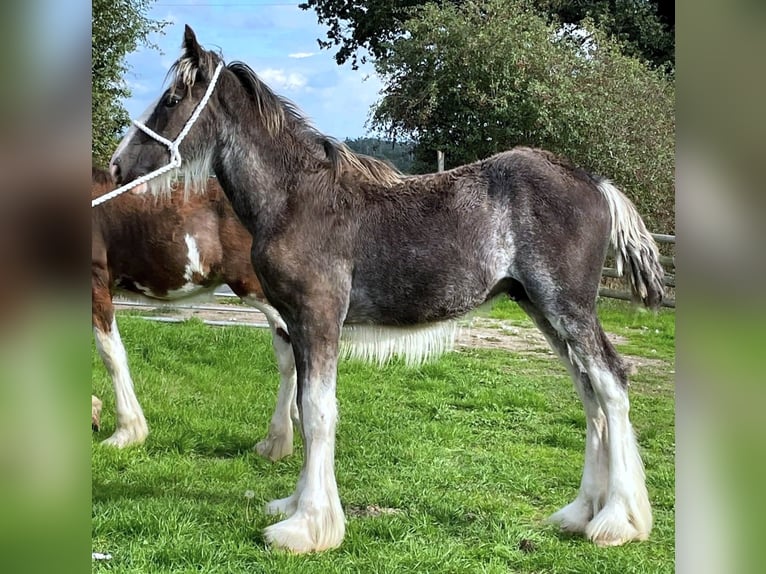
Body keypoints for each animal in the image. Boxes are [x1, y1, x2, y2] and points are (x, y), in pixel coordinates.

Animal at [110, 25, 665, 553]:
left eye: (172, 99)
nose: (118, 166)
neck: (297, 199)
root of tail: (597, 183)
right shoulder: (298, 324)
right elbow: (305, 409)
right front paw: (295, 506)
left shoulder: (318, 318)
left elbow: (317, 413)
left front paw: (307, 529)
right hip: (542, 310)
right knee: (588, 394)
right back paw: (580, 513)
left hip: (567, 308)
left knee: (611, 385)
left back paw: (617, 521)